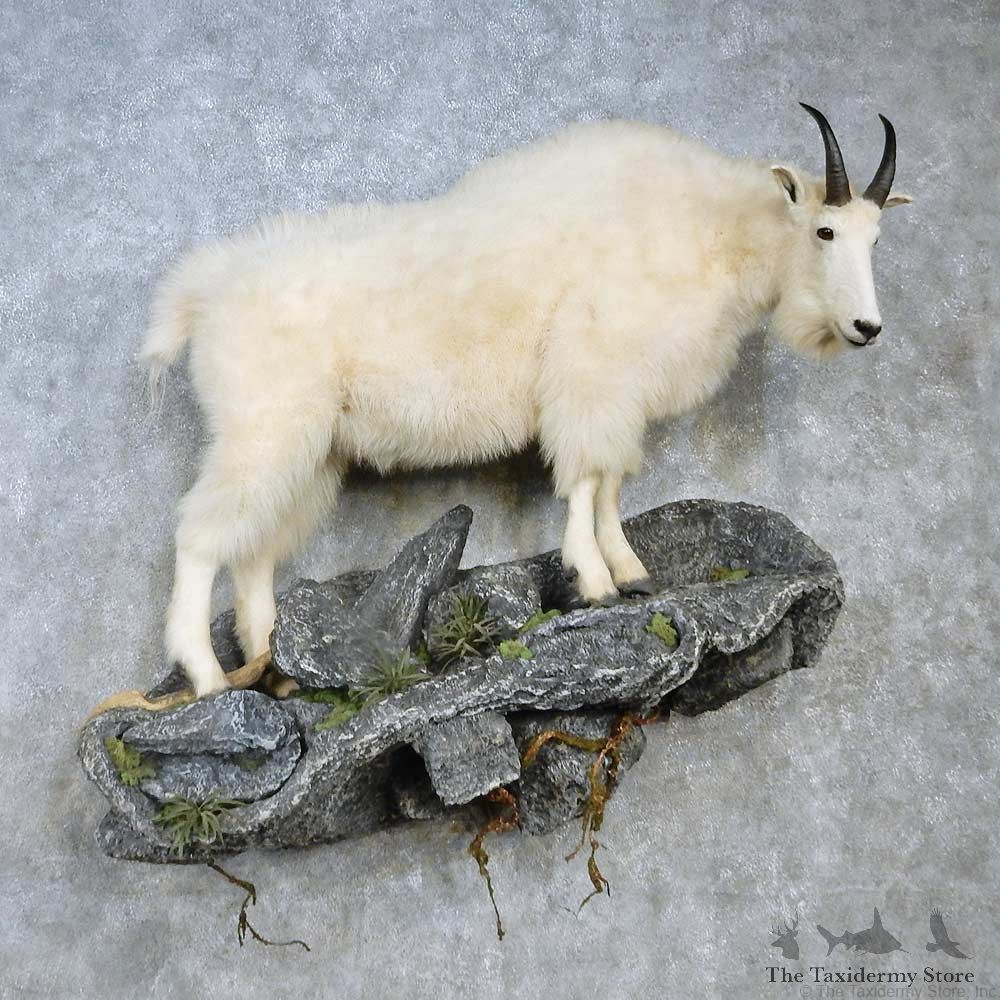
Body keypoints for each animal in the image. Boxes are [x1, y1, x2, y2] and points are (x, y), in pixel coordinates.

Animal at [142, 104, 911, 697]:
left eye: (877, 238)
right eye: (824, 230)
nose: (867, 328)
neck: (703, 231)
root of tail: (200, 296)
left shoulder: (620, 395)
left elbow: (610, 482)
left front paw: (631, 571)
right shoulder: (591, 373)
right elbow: (585, 480)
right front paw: (595, 580)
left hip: (310, 448)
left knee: (254, 550)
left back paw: (277, 671)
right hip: (262, 427)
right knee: (200, 536)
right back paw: (207, 679)